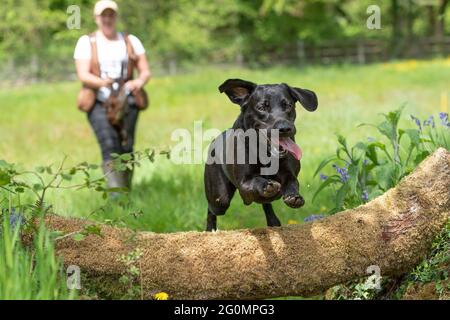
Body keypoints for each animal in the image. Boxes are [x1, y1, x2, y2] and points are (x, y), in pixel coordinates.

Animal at [204, 79, 316, 231]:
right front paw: (267, 184)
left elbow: (292, 182)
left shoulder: (289, 173)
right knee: (212, 210)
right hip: (220, 199)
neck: (265, 154)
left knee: (266, 205)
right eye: (262, 107)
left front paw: (294, 196)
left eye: (288, 105)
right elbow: (255, 181)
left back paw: (273, 221)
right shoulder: (244, 183)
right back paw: (210, 230)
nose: (285, 128)